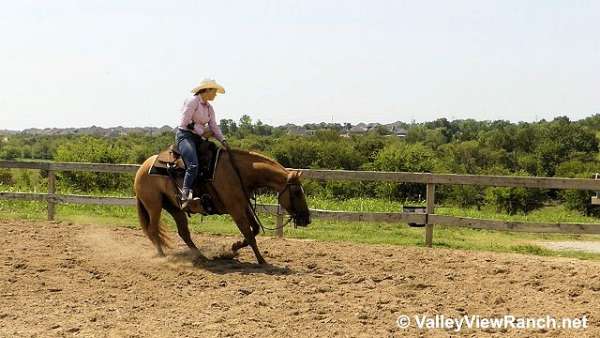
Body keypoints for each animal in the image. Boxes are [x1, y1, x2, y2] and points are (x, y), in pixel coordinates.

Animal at [134, 148, 312, 264]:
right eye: (297, 192)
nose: (307, 219)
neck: (238, 172)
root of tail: (142, 168)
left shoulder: (243, 205)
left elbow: (254, 229)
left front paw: (234, 248)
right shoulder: (235, 209)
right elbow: (249, 234)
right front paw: (261, 260)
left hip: (174, 207)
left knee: (183, 233)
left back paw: (201, 257)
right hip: (154, 206)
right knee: (153, 229)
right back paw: (162, 256)